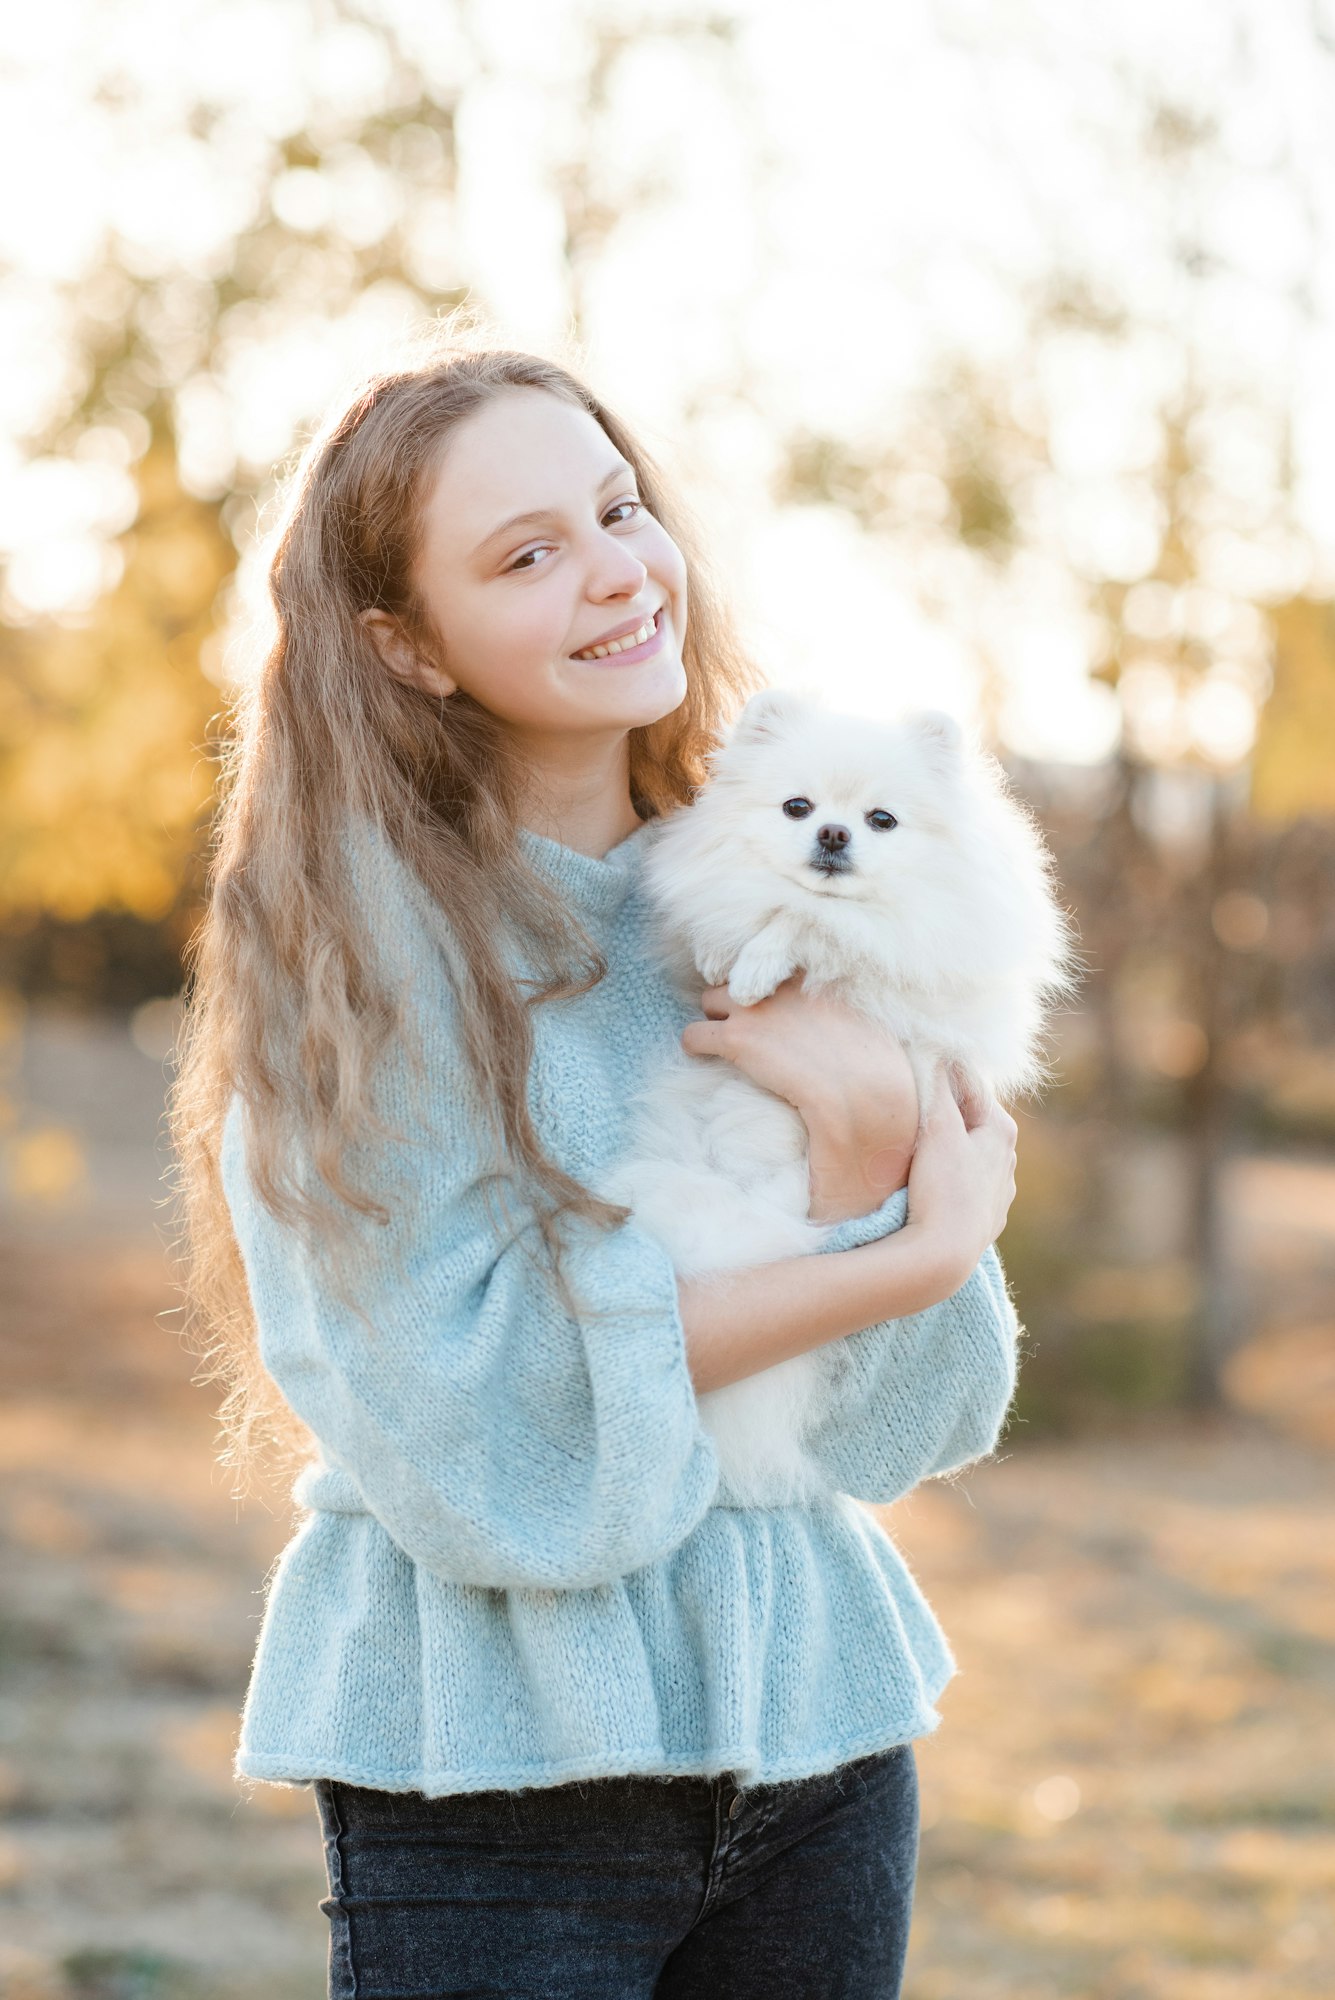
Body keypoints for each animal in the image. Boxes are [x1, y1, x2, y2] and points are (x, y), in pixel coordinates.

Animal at [599, 688, 1079, 1504]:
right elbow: (748, 908)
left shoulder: (896, 959)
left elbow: (812, 925)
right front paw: (722, 949)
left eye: (881, 820)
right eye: (797, 807)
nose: (831, 833)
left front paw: (761, 961)